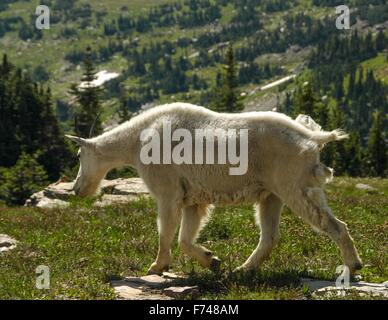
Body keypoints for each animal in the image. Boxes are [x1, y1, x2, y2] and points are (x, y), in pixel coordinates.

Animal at [67, 102, 364, 276]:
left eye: (79, 155)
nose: (76, 189)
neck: (136, 139)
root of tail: (312, 138)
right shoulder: (192, 198)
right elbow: (185, 237)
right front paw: (213, 260)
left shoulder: (167, 188)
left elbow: (166, 230)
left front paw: (156, 266)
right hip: (272, 192)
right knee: (269, 234)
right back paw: (242, 269)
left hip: (295, 182)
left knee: (331, 223)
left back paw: (353, 265)